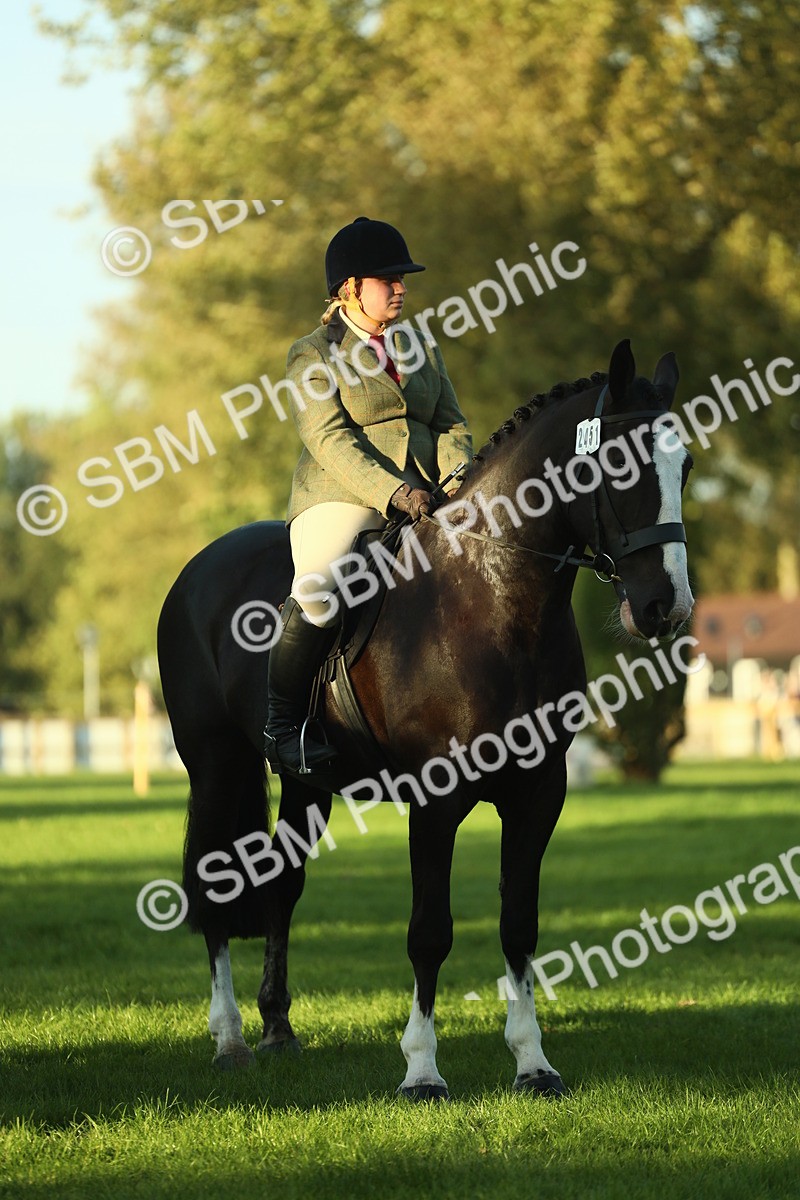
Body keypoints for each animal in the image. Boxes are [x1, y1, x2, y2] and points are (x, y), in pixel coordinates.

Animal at [156, 338, 693, 1100]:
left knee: (283, 888)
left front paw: (533, 1062)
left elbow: (518, 924)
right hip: (214, 765)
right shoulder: (436, 800)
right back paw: (230, 1039)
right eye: (618, 463)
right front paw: (421, 1070)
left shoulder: (539, 794)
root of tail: (199, 566)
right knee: (215, 885)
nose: (664, 608)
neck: (493, 592)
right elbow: (429, 932)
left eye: (688, 466)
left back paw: (278, 1029)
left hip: (305, 782)